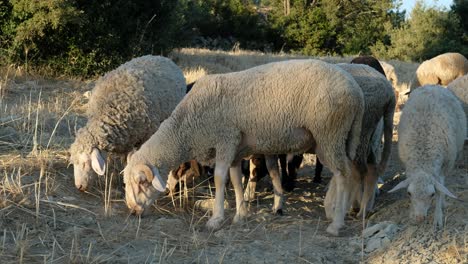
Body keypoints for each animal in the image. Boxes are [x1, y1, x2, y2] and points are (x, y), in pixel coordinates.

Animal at [123, 59, 366, 235]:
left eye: (141, 182)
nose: (133, 211)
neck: (187, 126)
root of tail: (356, 90)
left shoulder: (226, 139)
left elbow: (220, 179)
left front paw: (216, 219)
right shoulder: (236, 149)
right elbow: (236, 179)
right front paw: (241, 215)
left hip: (330, 132)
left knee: (343, 174)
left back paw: (336, 223)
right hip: (339, 137)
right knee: (348, 171)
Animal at [324, 63, 396, 219]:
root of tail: (389, 93)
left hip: (361, 129)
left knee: (363, 172)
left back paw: (360, 209)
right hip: (369, 134)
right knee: (368, 169)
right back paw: (364, 206)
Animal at [388, 85, 464, 229]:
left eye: (432, 194)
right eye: (409, 193)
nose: (419, 218)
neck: (423, 159)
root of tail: (432, 86)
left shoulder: (442, 167)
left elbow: (440, 190)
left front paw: (438, 217)